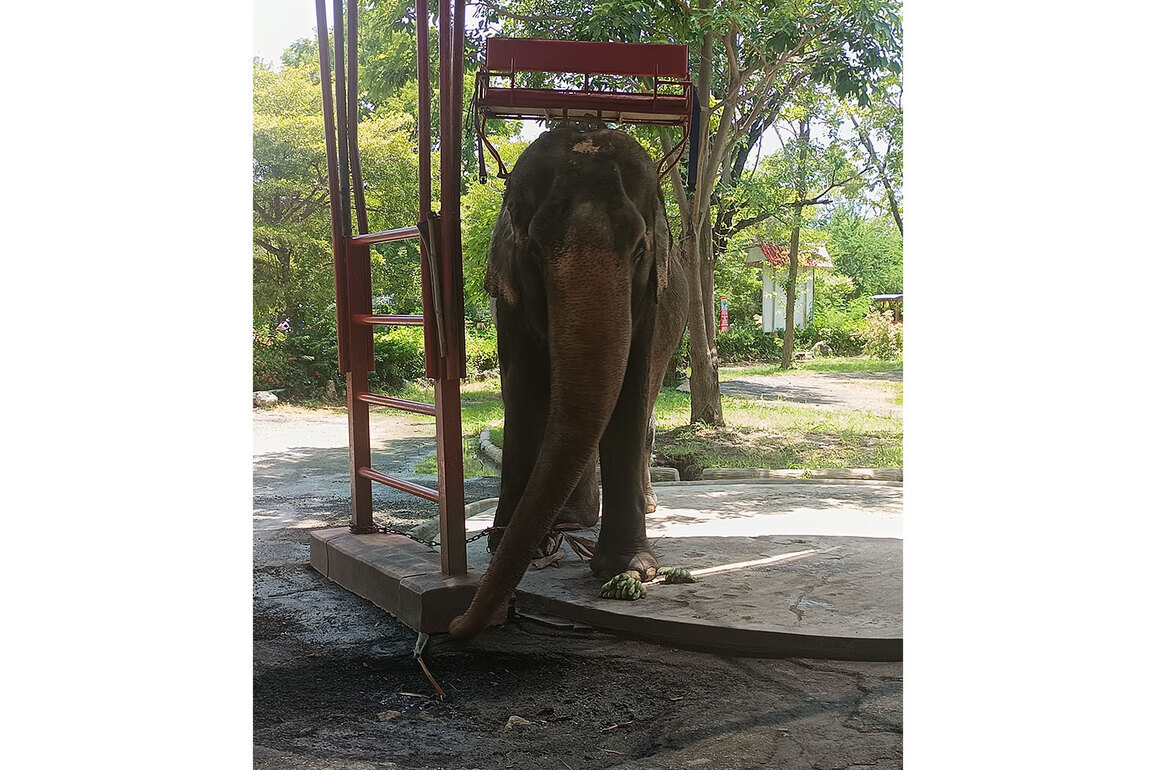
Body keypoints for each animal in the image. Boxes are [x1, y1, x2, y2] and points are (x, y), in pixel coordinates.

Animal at [448, 127, 689, 640]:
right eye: (536, 250)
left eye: (640, 249)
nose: (459, 623)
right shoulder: (508, 301)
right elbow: (523, 391)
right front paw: (506, 545)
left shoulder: (651, 304)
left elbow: (629, 392)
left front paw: (630, 569)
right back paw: (572, 522)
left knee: (647, 400)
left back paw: (639, 507)